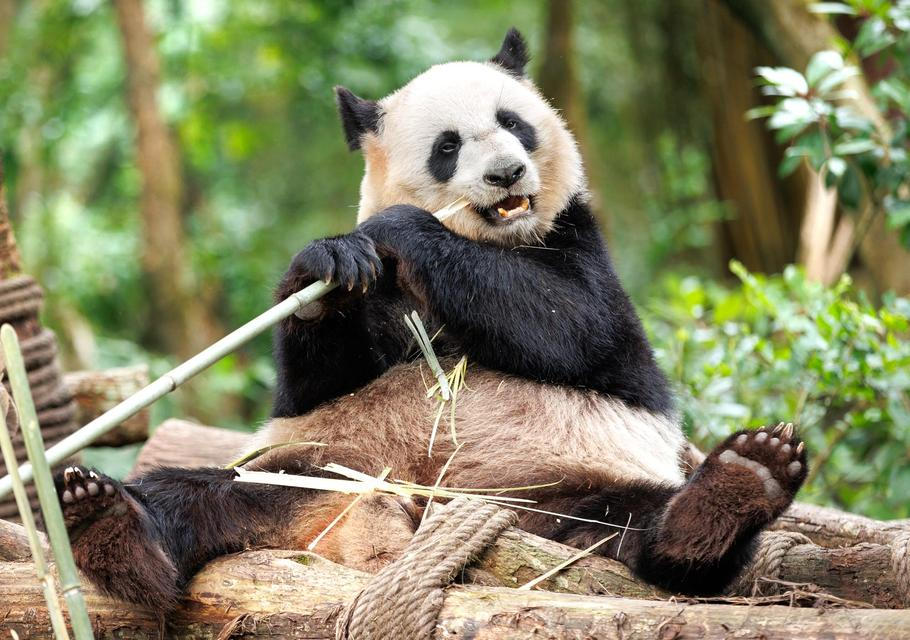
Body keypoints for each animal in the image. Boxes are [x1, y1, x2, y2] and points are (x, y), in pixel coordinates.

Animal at [56, 29, 807, 614]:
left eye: (514, 122)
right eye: (447, 146)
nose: (507, 174)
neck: (487, 238)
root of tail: (374, 523)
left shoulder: (578, 241)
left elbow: (577, 327)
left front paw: (403, 227)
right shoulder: (359, 338)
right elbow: (312, 385)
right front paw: (329, 264)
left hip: (553, 488)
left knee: (633, 524)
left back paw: (734, 489)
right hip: (315, 469)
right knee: (193, 495)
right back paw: (107, 521)